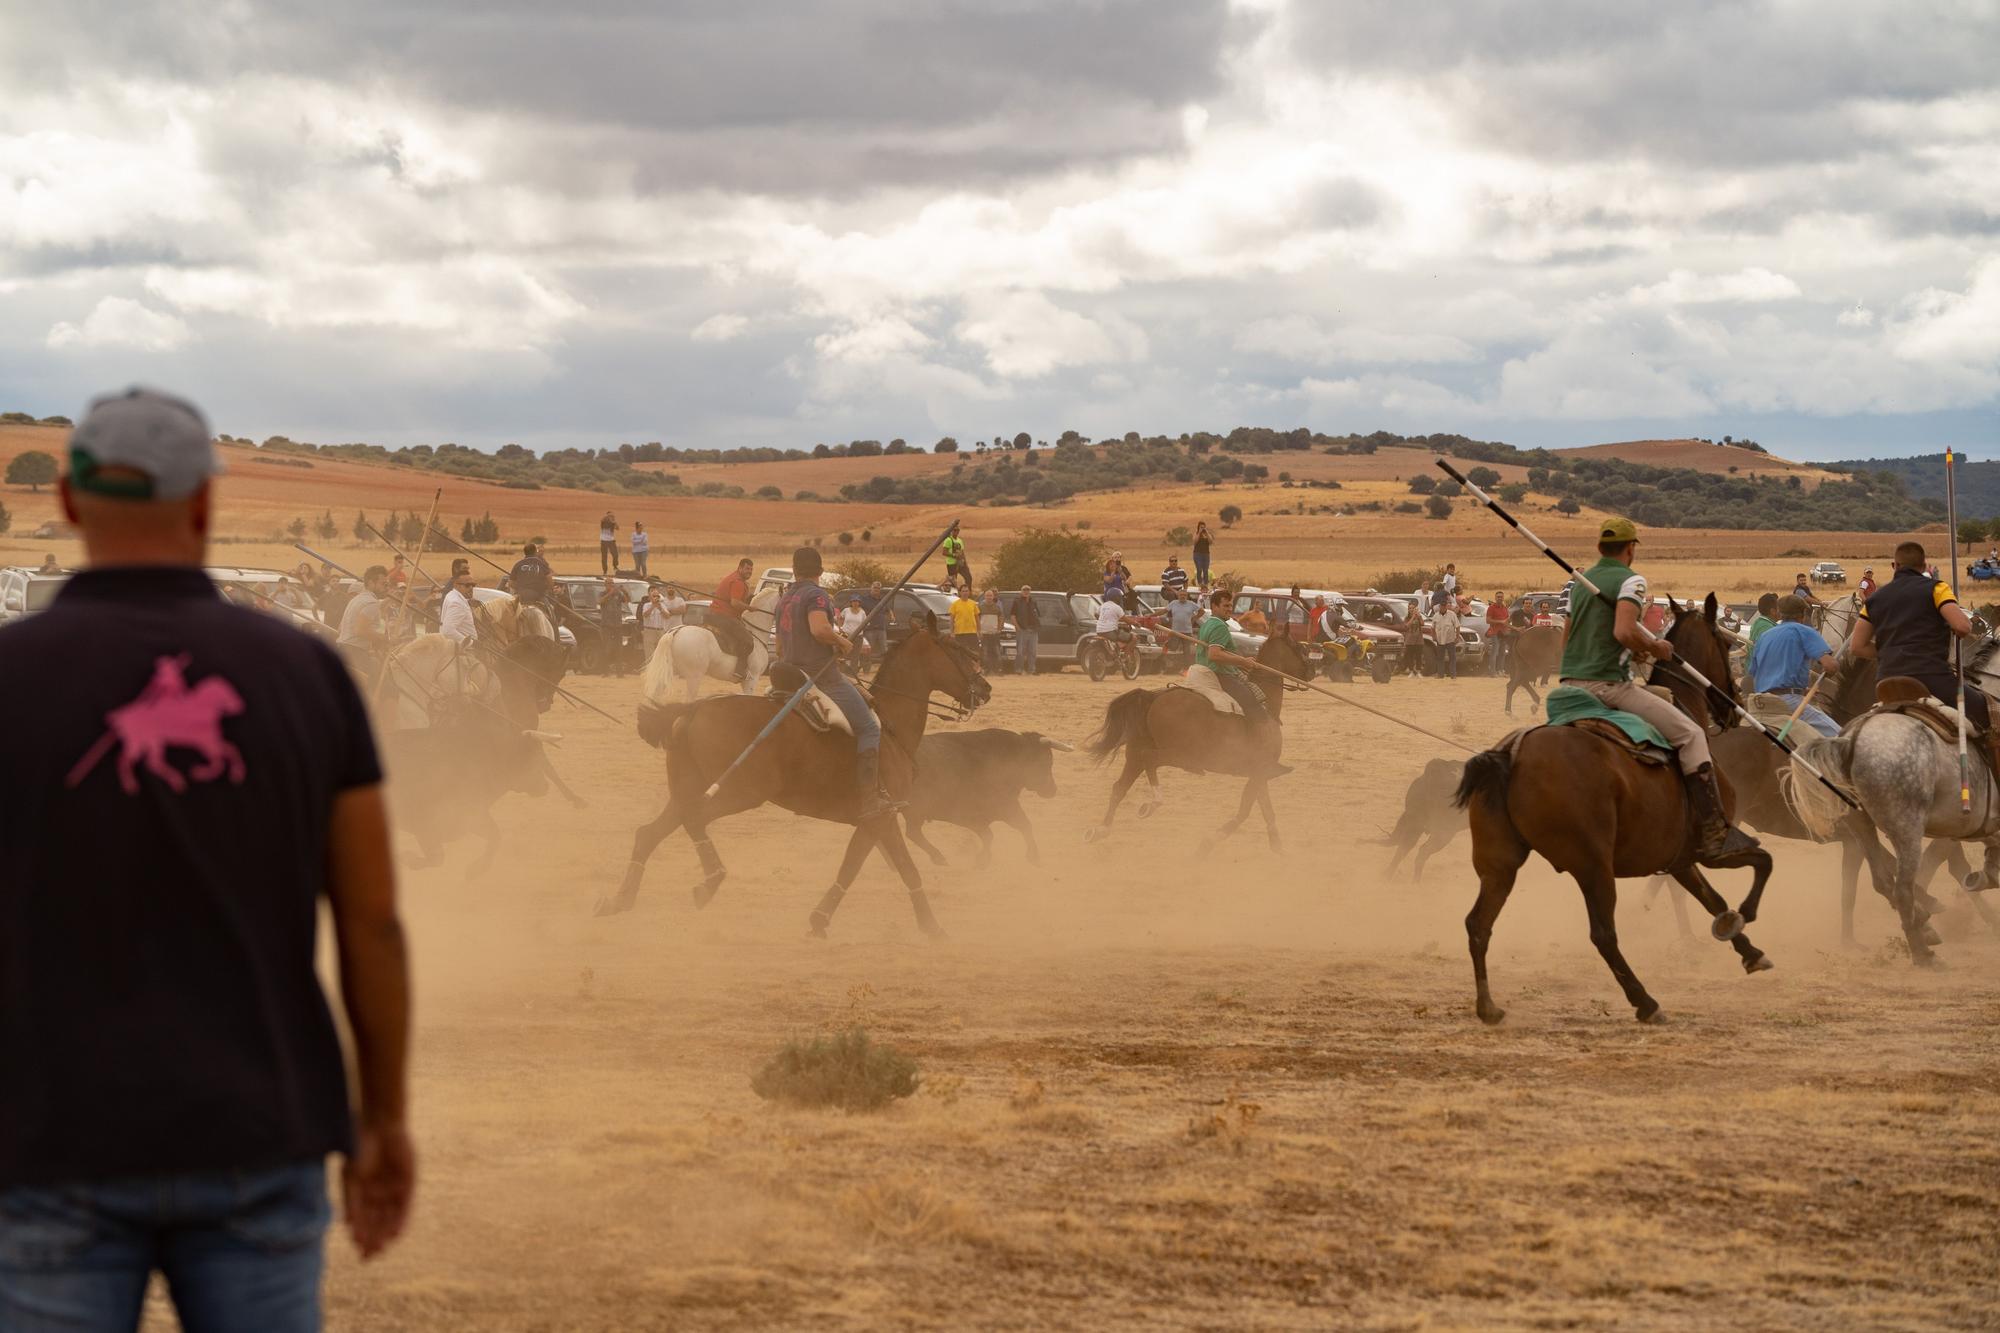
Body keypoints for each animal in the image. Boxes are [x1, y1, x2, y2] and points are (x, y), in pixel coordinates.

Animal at [596, 624, 996, 928]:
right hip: (736, 792)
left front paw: (822, 919)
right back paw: (709, 882)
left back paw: (618, 901)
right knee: (693, 821)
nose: (986, 688)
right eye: (957, 649)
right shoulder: (880, 817)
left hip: (688, 789)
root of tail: (692, 710)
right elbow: (889, 868)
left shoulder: (873, 822)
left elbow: (868, 866)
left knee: (648, 834)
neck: (890, 725)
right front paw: (932, 927)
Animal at [1080, 632, 1312, 852]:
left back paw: (1100, 830)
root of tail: (1153, 698)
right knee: (1150, 760)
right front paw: (1209, 843)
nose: (1312, 671)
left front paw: (1277, 845)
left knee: (1119, 787)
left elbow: (1266, 808)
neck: (1267, 703)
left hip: (1136, 752)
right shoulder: (1259, 771)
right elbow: (1246, 809)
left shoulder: (1259, 773)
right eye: (1299, 647)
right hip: (1180, 755)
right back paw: (1153, 802)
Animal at [1456, 592, 1784, 1016]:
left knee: (1478, 925)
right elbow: (1762, 862)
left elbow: (1713, 900)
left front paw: (1749, 950)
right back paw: (1645, 1001)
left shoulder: (1679, 858)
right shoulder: (1712, 850)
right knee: (1603, 935)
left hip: (1500, 865)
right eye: (1726, 645)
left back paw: (1488, 1006)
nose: (1734, 706)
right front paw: (1746, 915)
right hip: (1593, 866)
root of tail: (1510, 757)